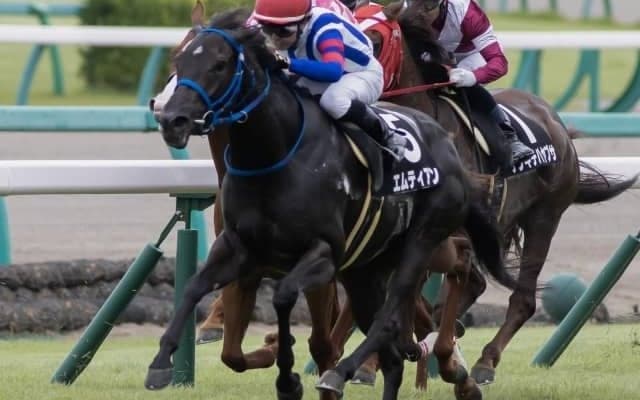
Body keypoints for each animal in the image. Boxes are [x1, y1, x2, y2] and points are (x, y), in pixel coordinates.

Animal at [145, 7, 517, 400]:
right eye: (179, 59)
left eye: (219, 64)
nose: (171, 118)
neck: (274, 156)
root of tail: (448, 148)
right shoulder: (238, 250)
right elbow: (196, 294)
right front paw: (161, 363)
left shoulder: (323, 255)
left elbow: (289, 303)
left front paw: (288, 377)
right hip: (368, 266)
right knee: (394, 353)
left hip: (421, 242)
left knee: (395, 312)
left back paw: (356, 370)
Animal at [357, 0, 639, 385]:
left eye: (375, 39)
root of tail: (557, 124)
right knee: (473, 286)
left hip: (544, 218)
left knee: (522, 299)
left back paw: (484, 362)